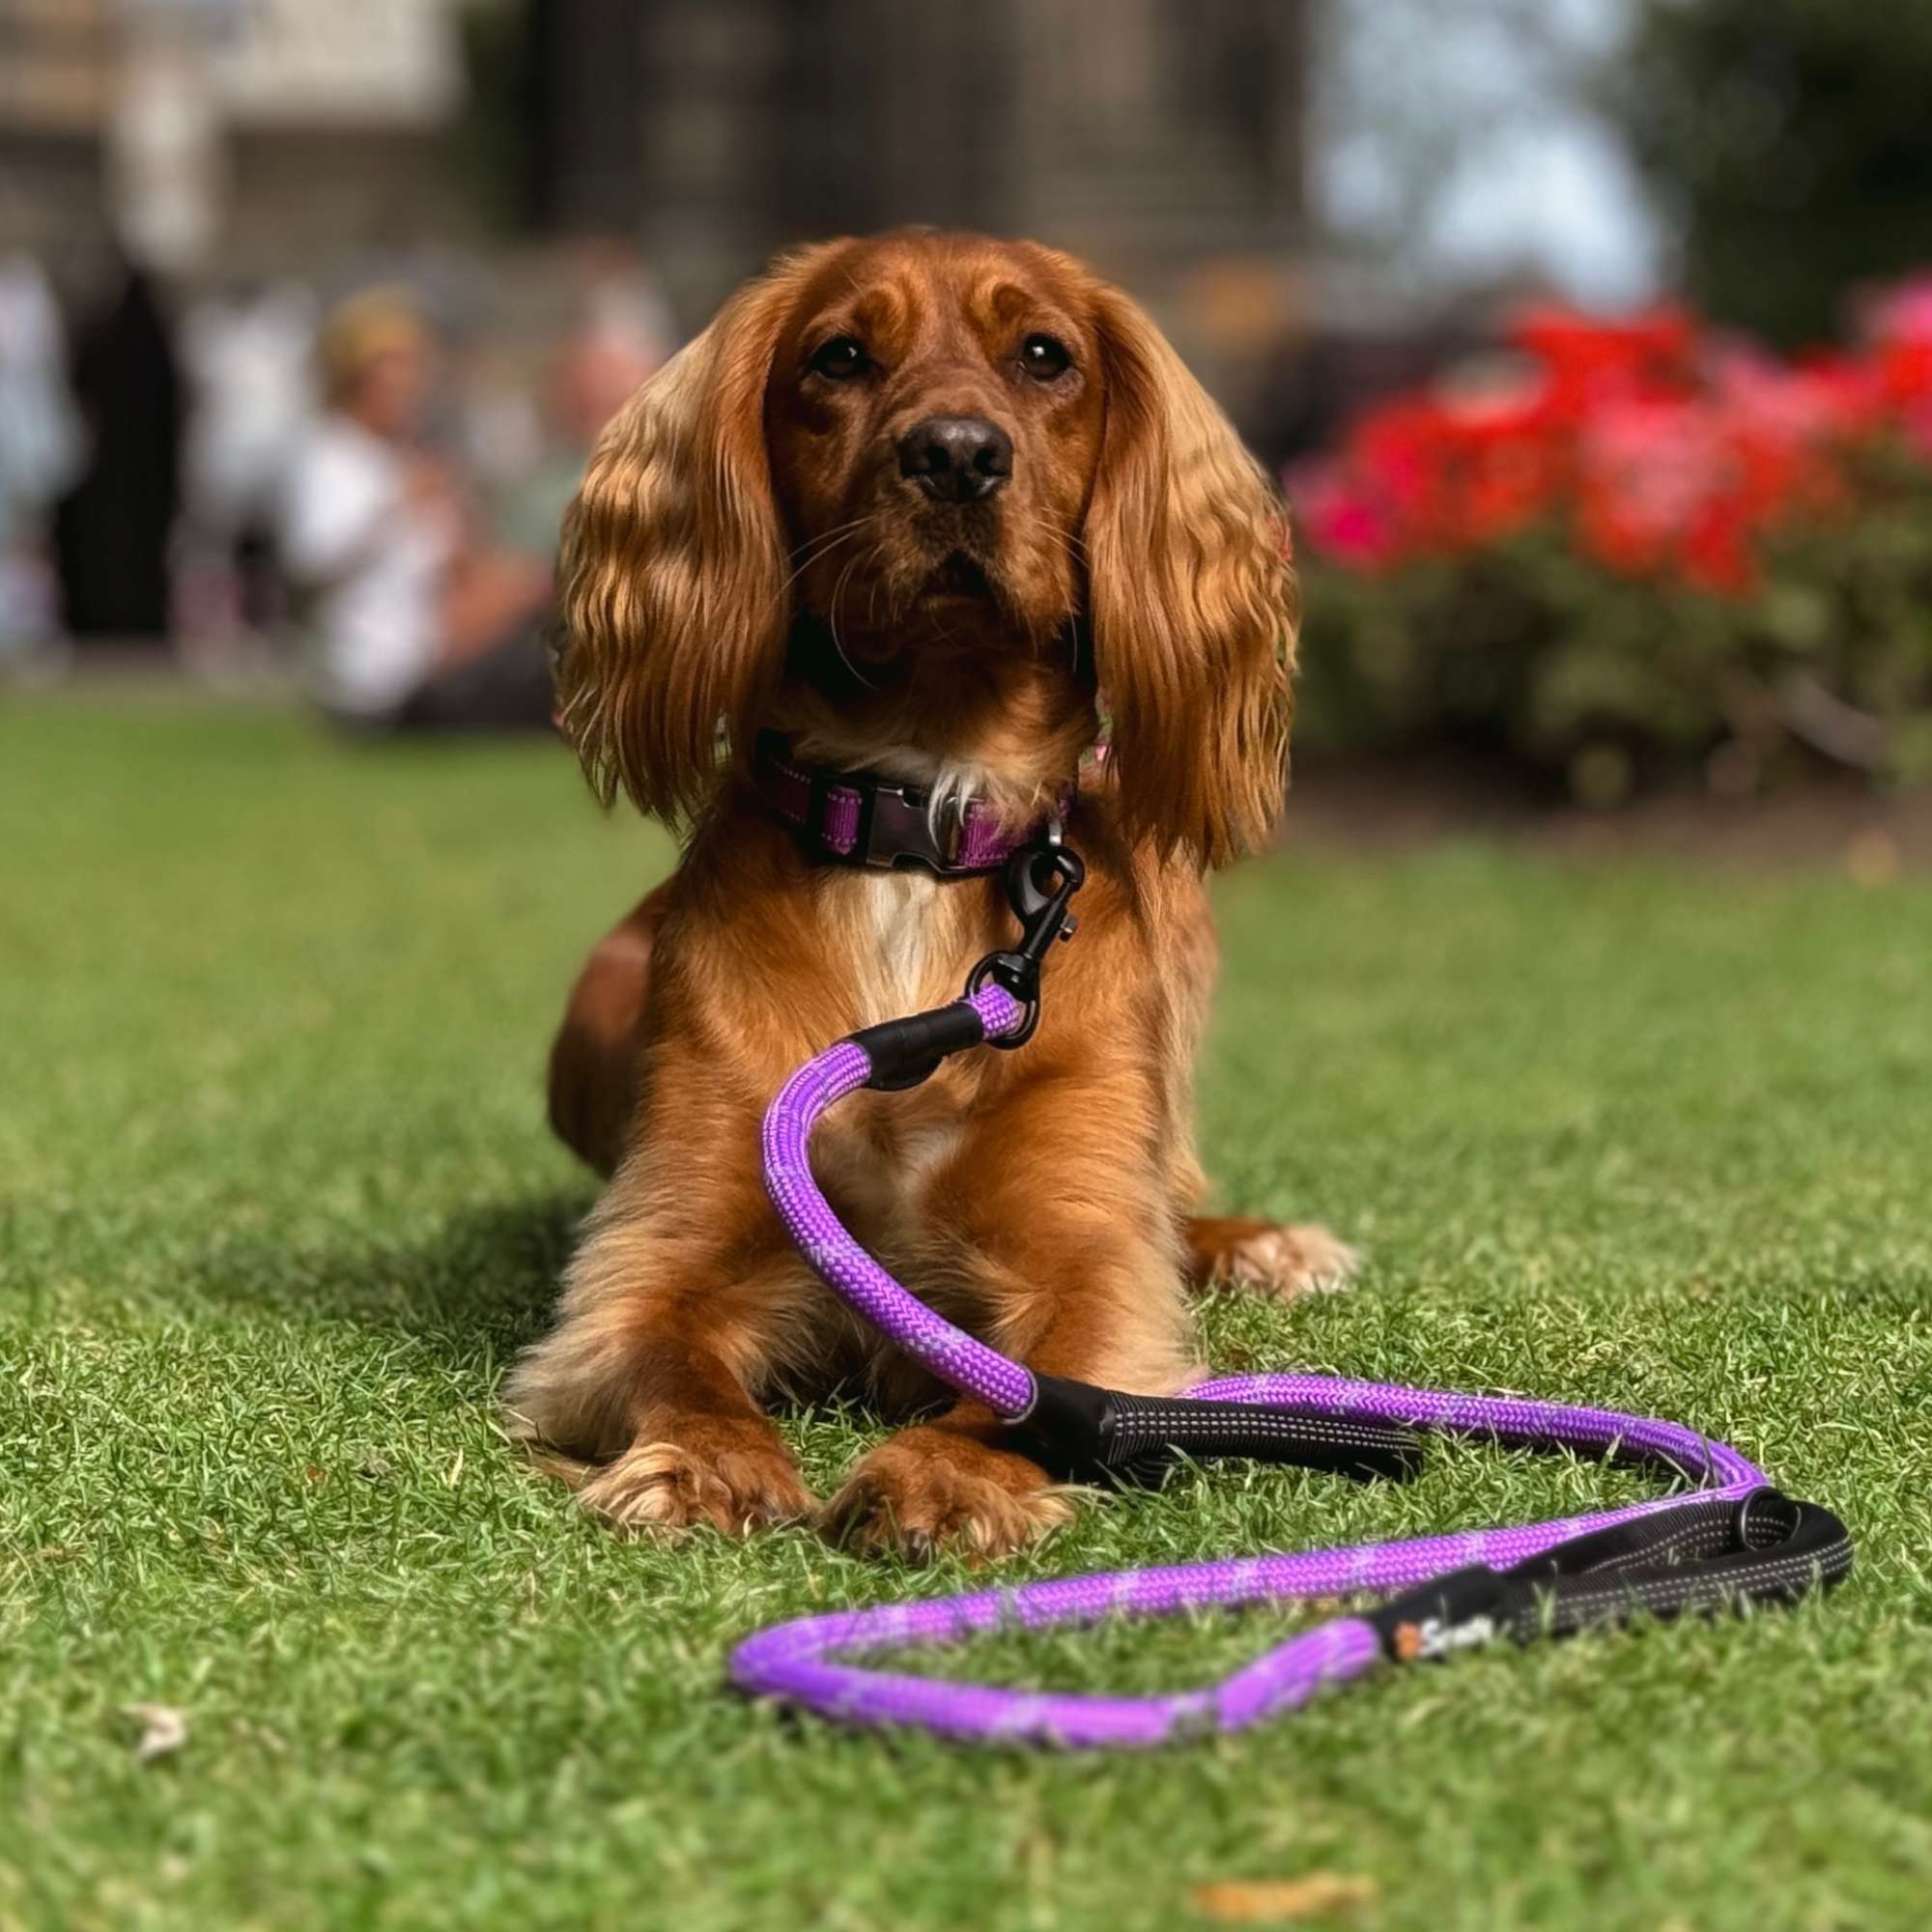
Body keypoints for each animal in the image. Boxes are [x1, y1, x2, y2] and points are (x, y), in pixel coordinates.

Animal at [514, 230, 1360, 1553]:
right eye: (838, 357)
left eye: (1044, 356)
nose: (957, 454)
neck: (918, 820)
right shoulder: (654, 1258)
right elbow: (667, 1352)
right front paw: (700, 1464)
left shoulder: (1086, 1264)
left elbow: (1039, 1389)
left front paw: (941, 1476)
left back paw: (1260, 1243)